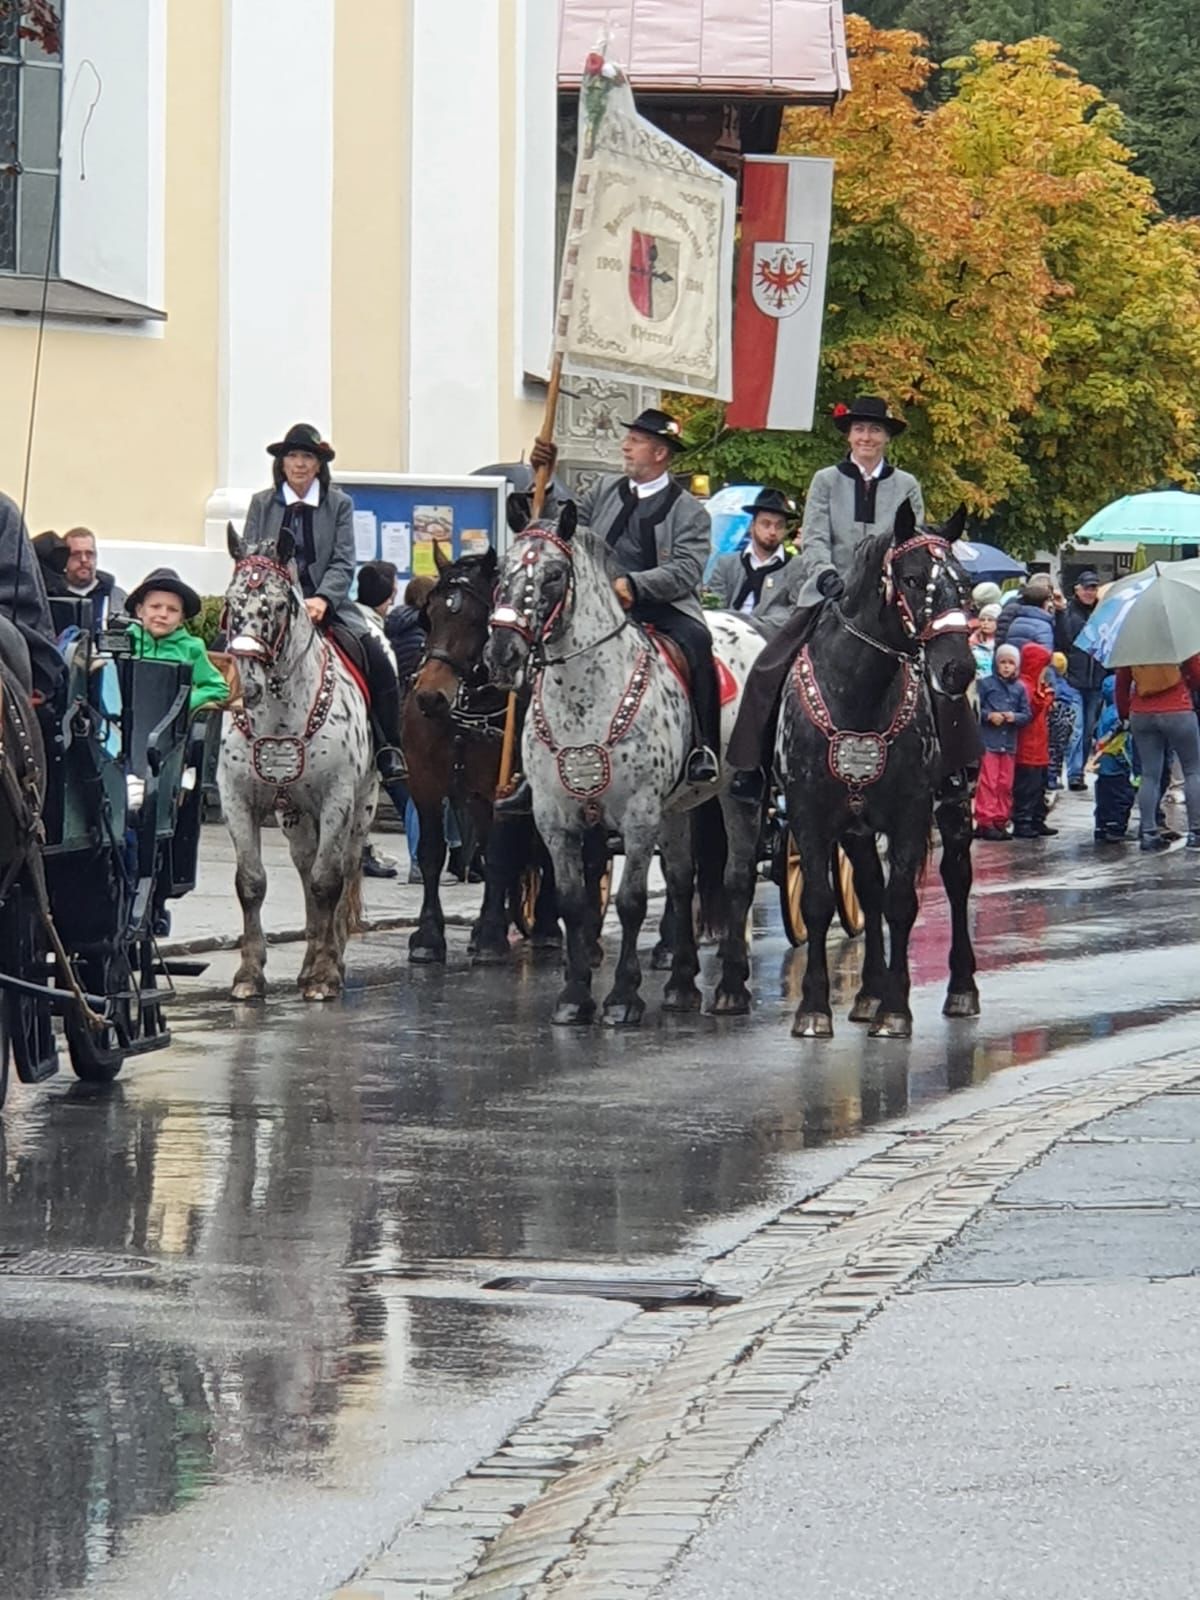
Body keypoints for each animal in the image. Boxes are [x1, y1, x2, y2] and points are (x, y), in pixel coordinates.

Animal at [219, 524, 377, 1002]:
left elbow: (328, 881)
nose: (247, 686)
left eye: (276, 604)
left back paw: (329, 960)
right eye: (230, 602)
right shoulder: (235, 797)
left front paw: (326, 975)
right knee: (306, 867)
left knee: (342, 869)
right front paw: (249, 975)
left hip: (361, 806)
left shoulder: (337, 799)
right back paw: (308, 962)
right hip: (294, 815)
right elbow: (251, 883)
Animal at [402, 542, 559, 965]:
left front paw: (490, 934)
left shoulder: (500, 787)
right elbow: (432, 851)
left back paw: (545, 926)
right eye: (430, 616)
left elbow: (502, 854)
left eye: (479, 620)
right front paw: (428, 934)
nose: (429, 696)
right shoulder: (425, 781)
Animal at [484, 501, 764, 1027]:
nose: (502, 653)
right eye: (500, 570)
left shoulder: (637, 816)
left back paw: (731, 989)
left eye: (554, 575)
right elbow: (573, 904)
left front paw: (622, 997)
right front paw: (574, 996)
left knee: (738, 878)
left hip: (738, 796)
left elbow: (630, 902)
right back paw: (681, 986)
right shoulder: (555, 819)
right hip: (676, 809)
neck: (586, 695)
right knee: (681, 881)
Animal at [779, 500, 978, 1040]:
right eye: (911, 578)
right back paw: (867, 992)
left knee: (956, 880)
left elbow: (901, 903)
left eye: (966, 582)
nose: (957, 669)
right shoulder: (809, 816)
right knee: (867, 890)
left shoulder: (911, 814)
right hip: (856, 827)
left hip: (955, 805)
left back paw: (961, 988)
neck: (857, 695)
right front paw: (814, 1009)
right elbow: (821, 902)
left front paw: (896, 1008)